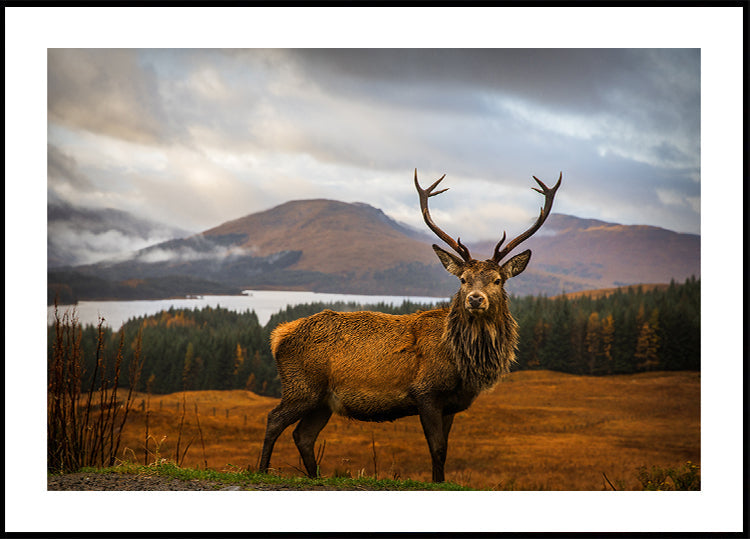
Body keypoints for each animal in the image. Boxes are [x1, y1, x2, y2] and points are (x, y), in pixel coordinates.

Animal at [257, 169, 561, 482]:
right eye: (463, 279)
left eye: (498, 280)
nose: (475, 299)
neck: (463, 364)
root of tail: (279, 335)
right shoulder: (425, 392)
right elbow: (437, 449)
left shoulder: (452, 404)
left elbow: (445, 449)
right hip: (301, 386)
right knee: (273, 420)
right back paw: (261, 470)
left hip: (322, 401)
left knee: (303, 435)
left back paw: (314, 477)